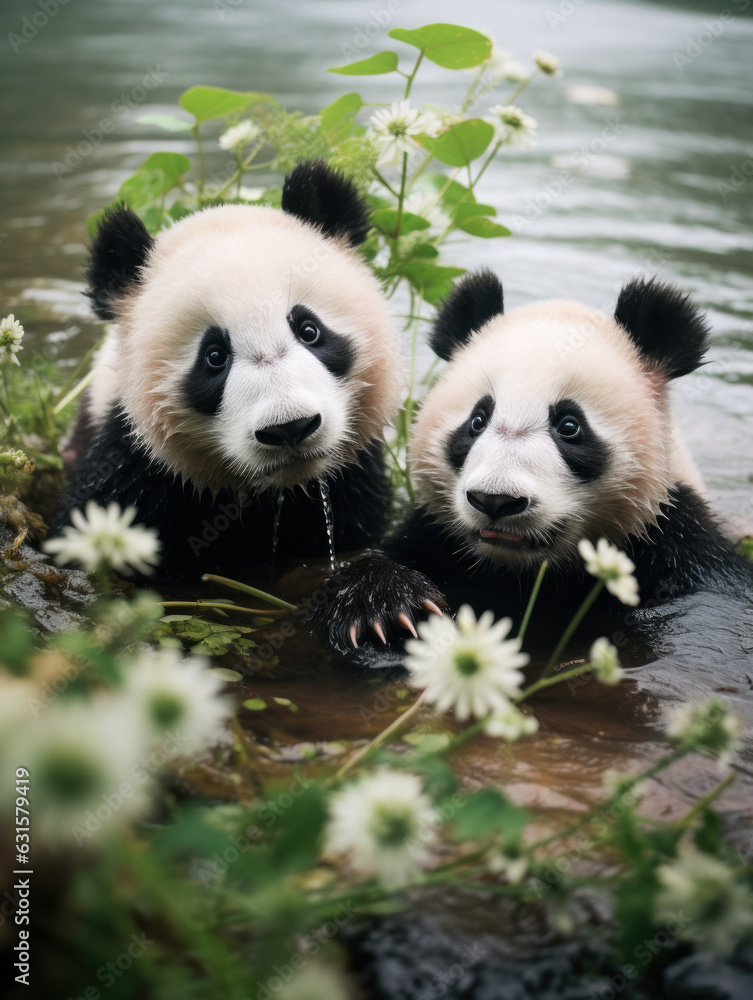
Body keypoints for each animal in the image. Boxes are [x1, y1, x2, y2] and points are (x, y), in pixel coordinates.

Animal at [56, 161, 403, 578]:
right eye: (214, 356)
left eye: (309, 331)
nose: (290, 428)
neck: (277, 492)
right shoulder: (131, 463)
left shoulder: (354, 479)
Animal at [315, 269, 753, 664]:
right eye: (477, 421)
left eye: (570, 427)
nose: (495, 500)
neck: (525, 573)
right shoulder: (437, 537)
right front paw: (386, 611)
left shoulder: (673, 530)